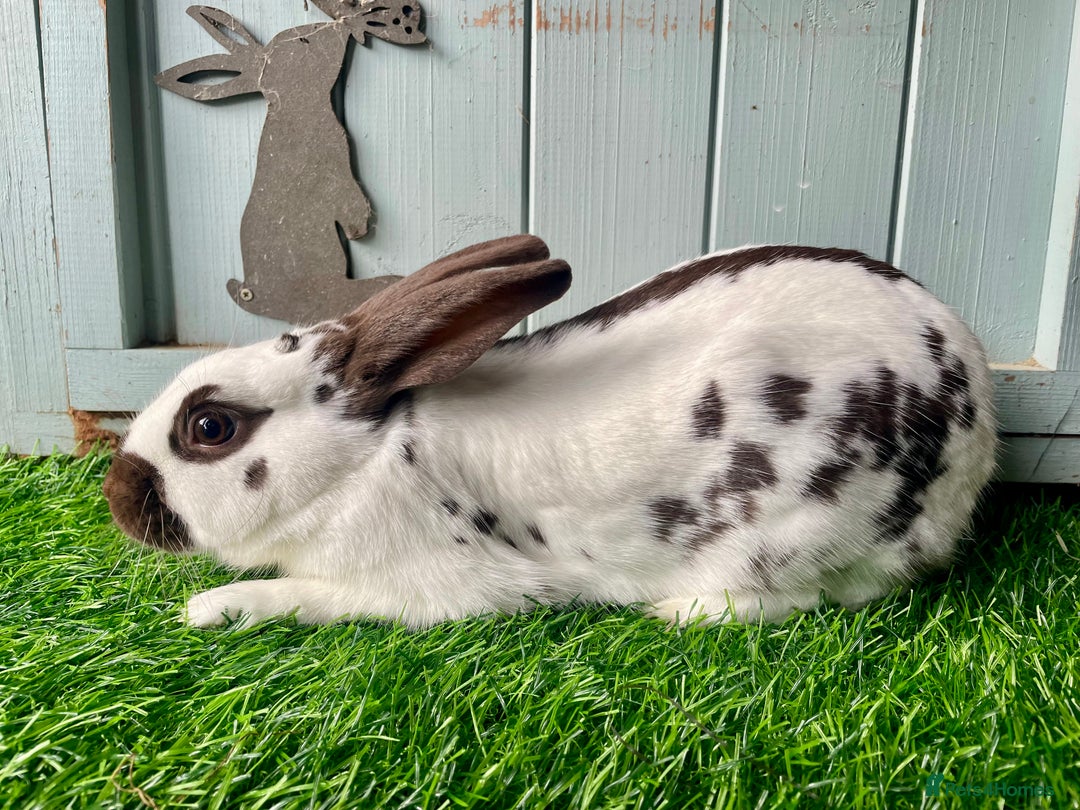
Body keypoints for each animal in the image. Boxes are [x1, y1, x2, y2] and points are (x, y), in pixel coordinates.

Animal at [102, 234, 997, 629]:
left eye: (210, 426)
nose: (116, 493)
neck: (362, 461)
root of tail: (979, 432)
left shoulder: (425, 588)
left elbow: (304, 597)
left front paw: (213, 607)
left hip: (793, 532)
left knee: (807, 598)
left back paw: (677, 613)